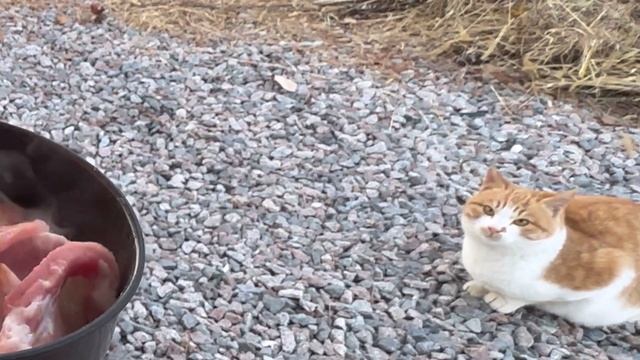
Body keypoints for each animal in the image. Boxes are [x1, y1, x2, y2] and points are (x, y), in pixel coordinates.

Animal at [460, 167, 640, 328]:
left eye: (522, 222)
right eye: (488, 210)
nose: (494, 229)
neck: (489, 255)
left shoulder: (616, 269)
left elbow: (531, 297)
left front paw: (503, 299)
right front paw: (478, 286)